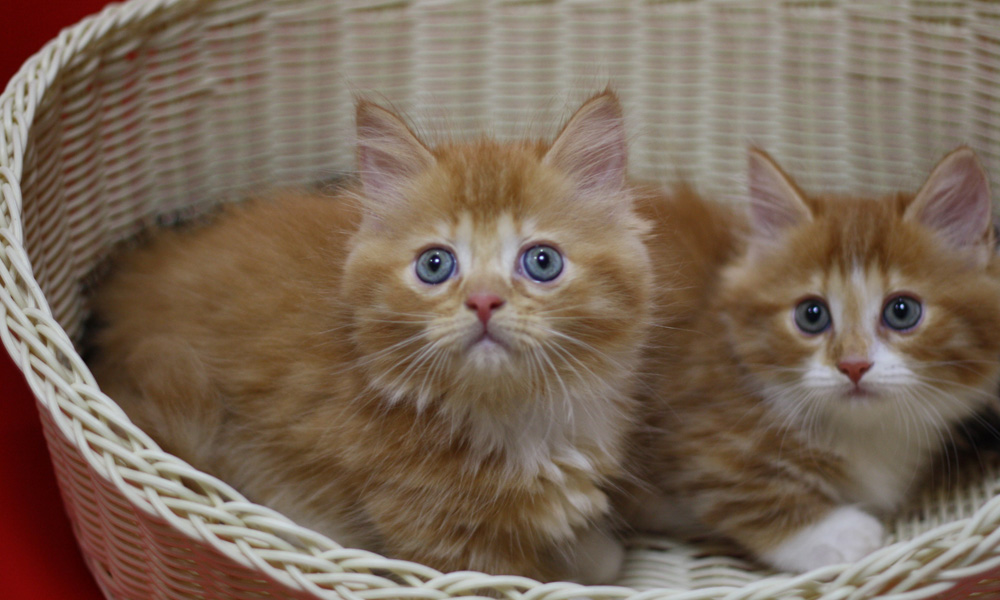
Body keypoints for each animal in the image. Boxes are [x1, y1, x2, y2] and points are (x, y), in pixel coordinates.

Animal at [628, 145, 1000, 572]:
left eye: (902, 311)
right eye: (811, 315)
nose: (853, 365)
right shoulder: (693, 435)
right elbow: (743, 489)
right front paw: (839, 533)